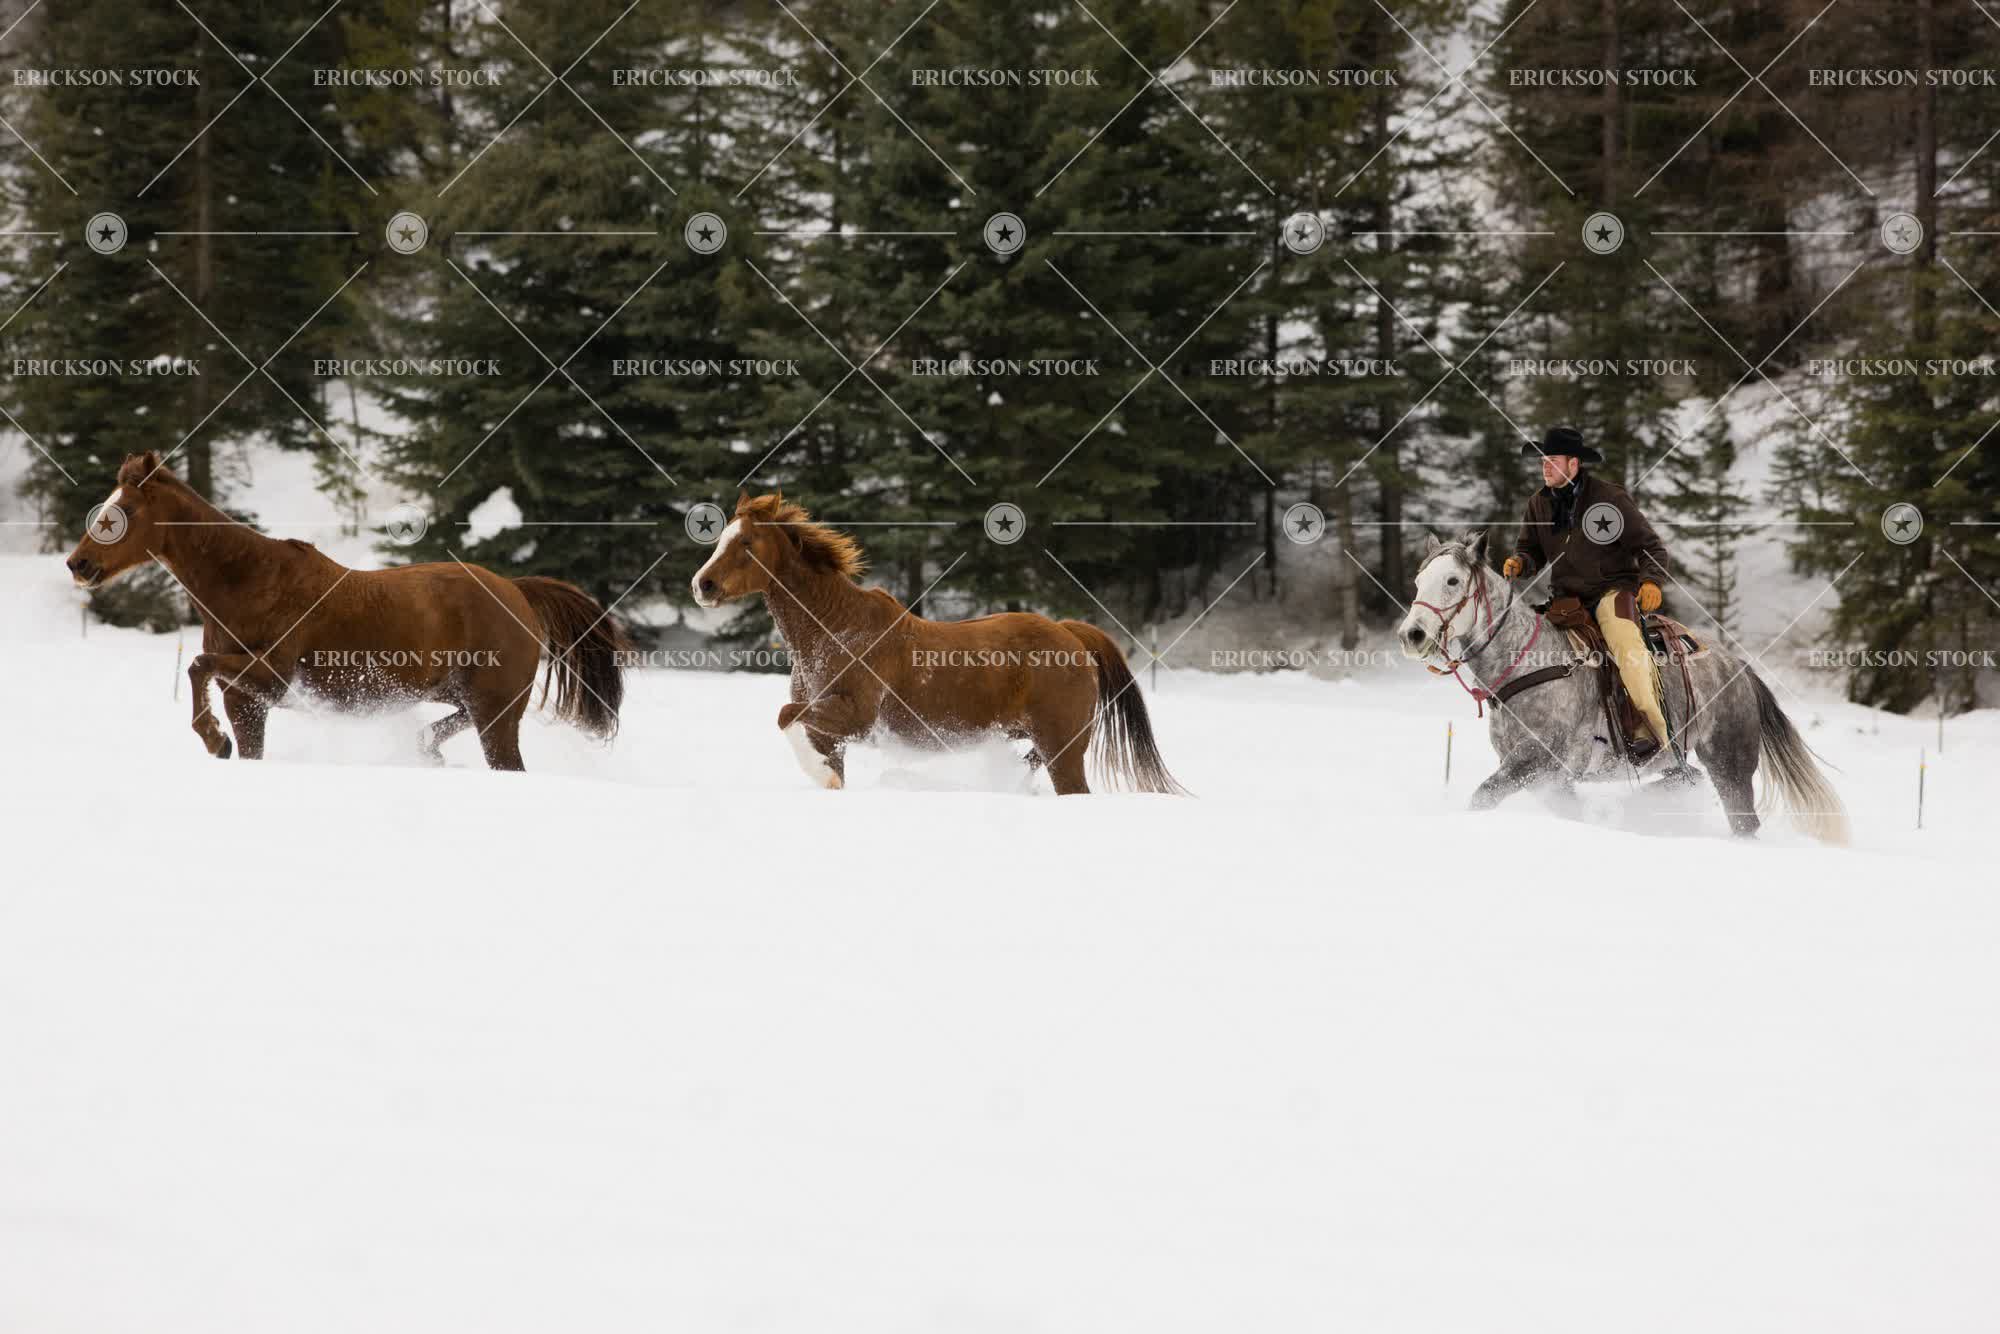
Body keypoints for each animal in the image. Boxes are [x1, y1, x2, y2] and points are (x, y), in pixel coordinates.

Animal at [65, 451, 631, 771]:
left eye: (124, 511)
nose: (79, 564)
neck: (250, 580)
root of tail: (515, 590)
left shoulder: (269, 680)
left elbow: (197, 666)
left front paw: (212, 741)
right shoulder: (245, 700)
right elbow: (235, 727)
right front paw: (221, 745)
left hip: (496, 711)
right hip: (469, 699)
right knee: (448, 727)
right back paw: (427, 750)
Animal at [690, 492, 1184, 796]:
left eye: (746, 542)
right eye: (721, 538)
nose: (702, 585)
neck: (834, 628)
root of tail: (1069, 633)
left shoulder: (857, 719)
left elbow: (786, 715)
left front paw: (819, 774)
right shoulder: (834, 732)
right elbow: (808, 736)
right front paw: (828, 778)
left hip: (1063, 748)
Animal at [1398, 531, 1849, 845]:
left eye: (1452, 580)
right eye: (1418, 581)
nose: (1412, 635)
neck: (1527, 665)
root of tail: (1737, 667)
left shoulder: (1532, 761)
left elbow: (1483, 797)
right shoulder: (1547, 777)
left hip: (1730, 763)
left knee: (1742, 819)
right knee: (1685, 779)